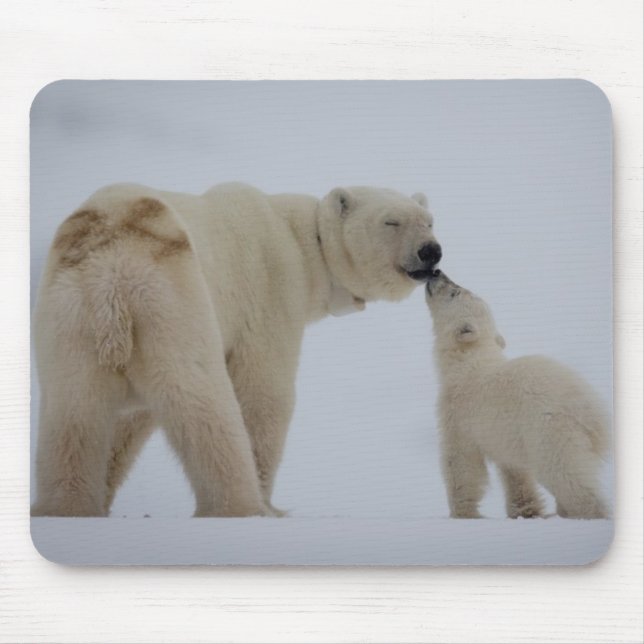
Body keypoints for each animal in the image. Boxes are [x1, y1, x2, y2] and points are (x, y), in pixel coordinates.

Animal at [31, 182, 442, 517]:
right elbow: (264, 395)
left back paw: (64, 508)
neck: (302, 241)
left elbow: (128, 422)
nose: (431, 252)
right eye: (391, 222)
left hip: (71, 316)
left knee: (73, 415)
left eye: (429, 221)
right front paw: (270, 503)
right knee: (203, 403)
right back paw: (241, 509)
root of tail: (111, 280)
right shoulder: (271, 290)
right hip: (172, 302)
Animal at [425, 270, 609, 519]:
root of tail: (588, 409)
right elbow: (514, 471)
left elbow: (461, 461)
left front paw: (463, 514)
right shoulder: (506, 432)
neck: (467, 363)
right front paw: (525, 511)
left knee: (564, 474)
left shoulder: (459, 412)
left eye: (456, 292)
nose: (436, 272)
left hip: (549, 430)